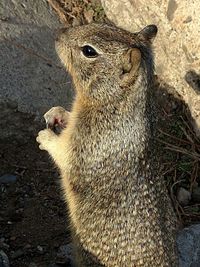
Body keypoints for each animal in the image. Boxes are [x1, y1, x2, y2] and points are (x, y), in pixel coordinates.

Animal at [36, 23, 179, 267]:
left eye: (89, 51)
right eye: (107, 25)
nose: (58, 33)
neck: (115, 102)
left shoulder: (89, 144)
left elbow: (62, 153)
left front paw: (44, 136)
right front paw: (56, 114)